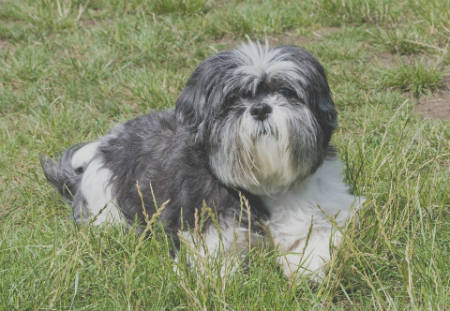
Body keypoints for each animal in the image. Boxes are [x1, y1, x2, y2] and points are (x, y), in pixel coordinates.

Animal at [39, 40, 362, 278]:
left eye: (285, 91)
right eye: (233, 99)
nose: (259, 108)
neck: (266, 184)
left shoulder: (332, 208)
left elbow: (321, 239)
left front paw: (304, 268)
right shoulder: (209, 233)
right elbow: (220, 266)